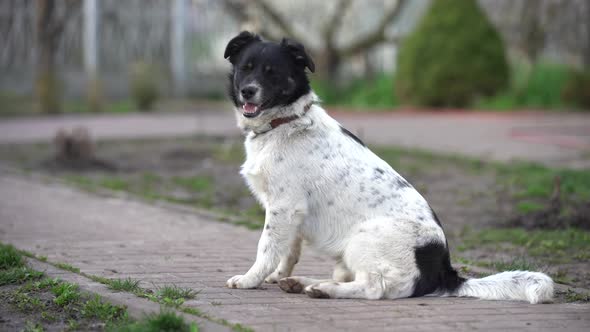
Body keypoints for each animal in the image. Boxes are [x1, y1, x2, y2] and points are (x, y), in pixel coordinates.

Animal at [224, 31, 556, 304]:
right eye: (246, 68)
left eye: (273, 73)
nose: (248, 91)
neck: (285, 122)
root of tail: (444, 272)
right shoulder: (293, 213)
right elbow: (288, 250)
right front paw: (277, 276)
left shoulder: (284, 206)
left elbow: (267, 247)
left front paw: (250, 279)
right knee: (352, 278)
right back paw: (301, 282)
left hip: (363, 238)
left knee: (374, 287)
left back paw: (323, 289)